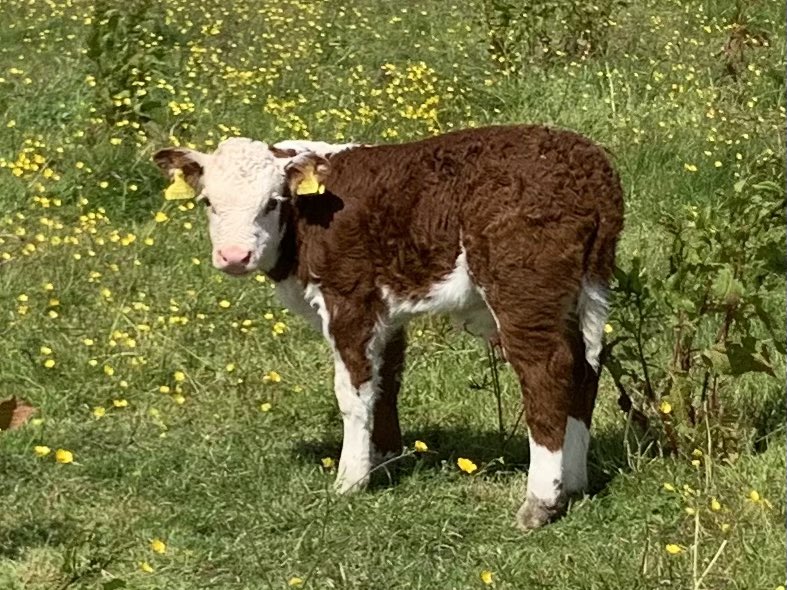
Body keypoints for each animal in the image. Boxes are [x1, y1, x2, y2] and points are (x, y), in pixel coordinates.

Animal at [153, 124, 624, 529]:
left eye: (272, 202)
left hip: (523, 288)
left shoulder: (349, 298)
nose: (234, 256)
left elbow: (353, 391)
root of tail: (591, 167)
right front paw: (382, 455)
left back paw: (541, 501)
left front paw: (350, 479)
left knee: (547, 371)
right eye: (208, 203)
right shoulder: (387, 310)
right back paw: (574, 482)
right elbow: (385, 381)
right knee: (586, 367)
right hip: (585, 287)